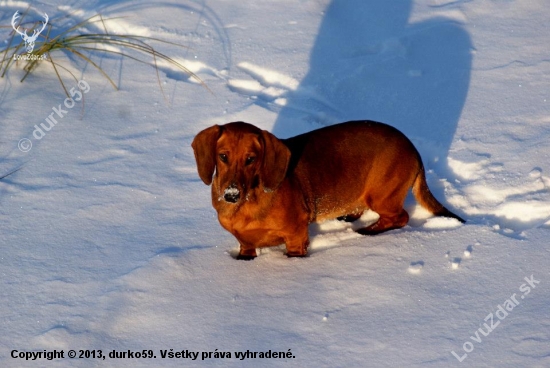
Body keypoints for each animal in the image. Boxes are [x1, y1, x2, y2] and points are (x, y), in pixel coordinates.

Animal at [194, 121, 466, 258]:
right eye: (223, 156)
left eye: (251, 159)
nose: (230, 195)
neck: (247, 203)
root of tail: (413, 148)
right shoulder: (245, 244)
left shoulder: (296, 235)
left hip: (381, 196)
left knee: (400, 217)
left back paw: (369, 230)